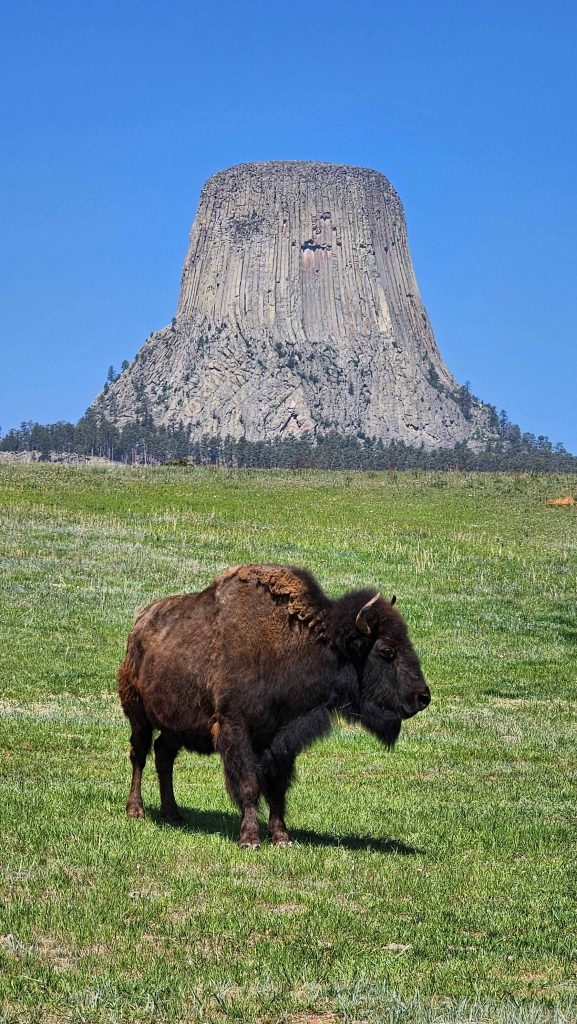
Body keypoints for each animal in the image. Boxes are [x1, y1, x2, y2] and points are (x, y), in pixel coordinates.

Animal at [118, 565, 428, 843]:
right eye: (386, 650)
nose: (423, 697)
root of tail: (139, 623)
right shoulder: (236, 729)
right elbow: (249, 784)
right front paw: (250, 838)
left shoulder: (283, 737)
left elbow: (277, 787)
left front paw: (281, 837)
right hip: (138, 716)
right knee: (140, 754)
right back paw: (136, 810)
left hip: (175, 726)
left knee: (164, 755)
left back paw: (173, 814)